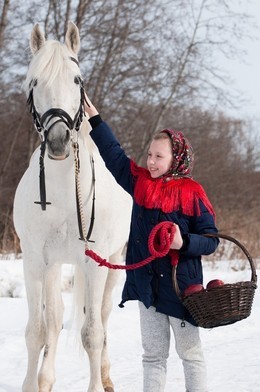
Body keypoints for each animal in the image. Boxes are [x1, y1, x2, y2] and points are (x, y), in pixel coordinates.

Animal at [12, 22, 132, 392]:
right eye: (35, 82)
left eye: (77, 80)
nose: (58, 141)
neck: (66, 194)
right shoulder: (35, 262)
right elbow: (38, 331)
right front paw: (34, 384)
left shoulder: (95, 264)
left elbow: (92, 333)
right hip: (54, 267)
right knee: (54, 319)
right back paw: (46, 379)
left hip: (113, 263)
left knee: (102, 319)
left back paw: (105, 376)